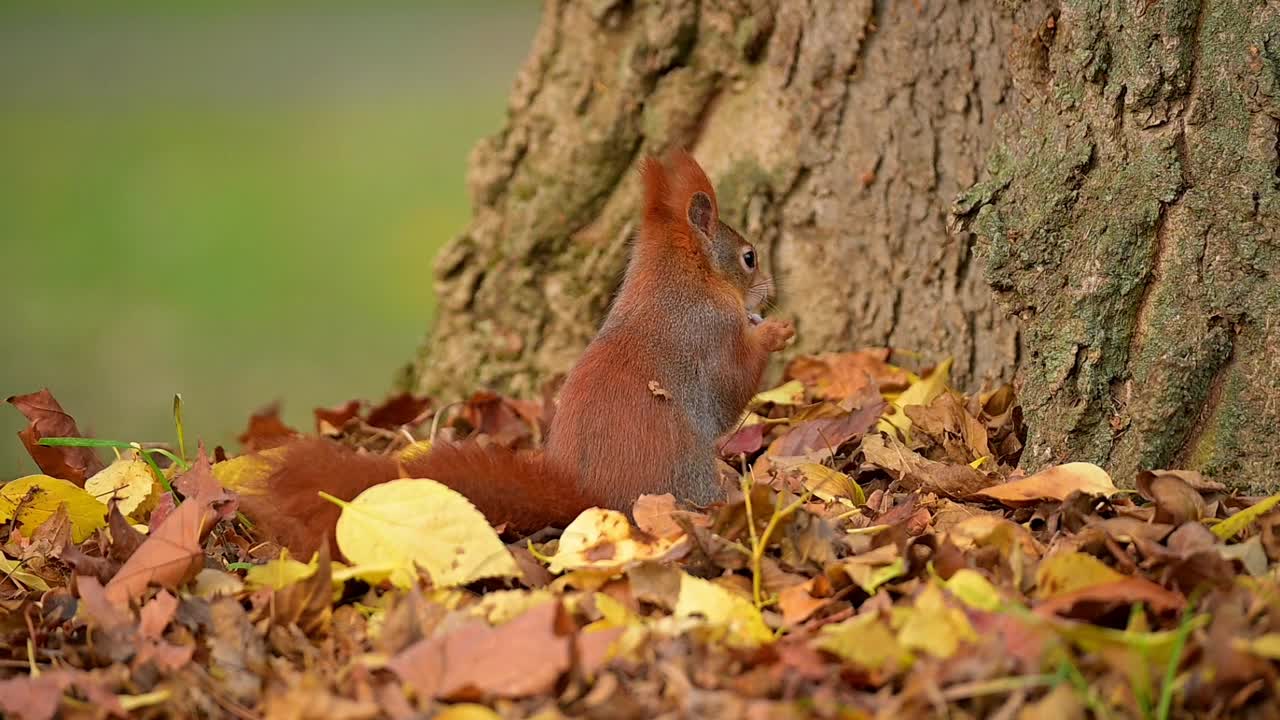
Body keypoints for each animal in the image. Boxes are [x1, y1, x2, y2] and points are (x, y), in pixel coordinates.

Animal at [241, 149, 788, 556]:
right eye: (749, 256)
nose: (769, 292)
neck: (683, 277)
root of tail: (588, 495)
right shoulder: (708, 333)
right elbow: (731, 387)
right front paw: (775, 332)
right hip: (686, 470)